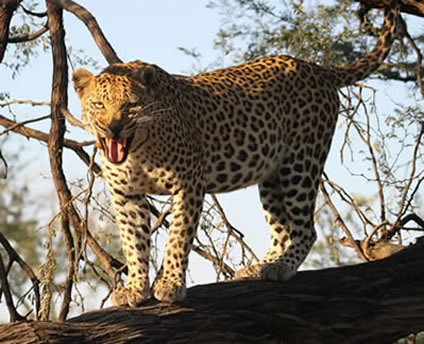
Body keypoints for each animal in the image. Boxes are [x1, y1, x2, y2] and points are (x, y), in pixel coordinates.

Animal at [73, 1, 400, 306]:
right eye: (99, 105)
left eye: (130, 106)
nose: (113, 127)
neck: (139, 152)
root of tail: (317, 68)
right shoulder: (125, 194)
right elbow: (133, 242)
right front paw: (136, 287)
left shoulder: (188, 185)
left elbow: (178, 237)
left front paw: (170, 284)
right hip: (271, 176)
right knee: (282, 229)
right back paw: (259, 267)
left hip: (301, 162)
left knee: (306, 229)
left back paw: (282, 267)